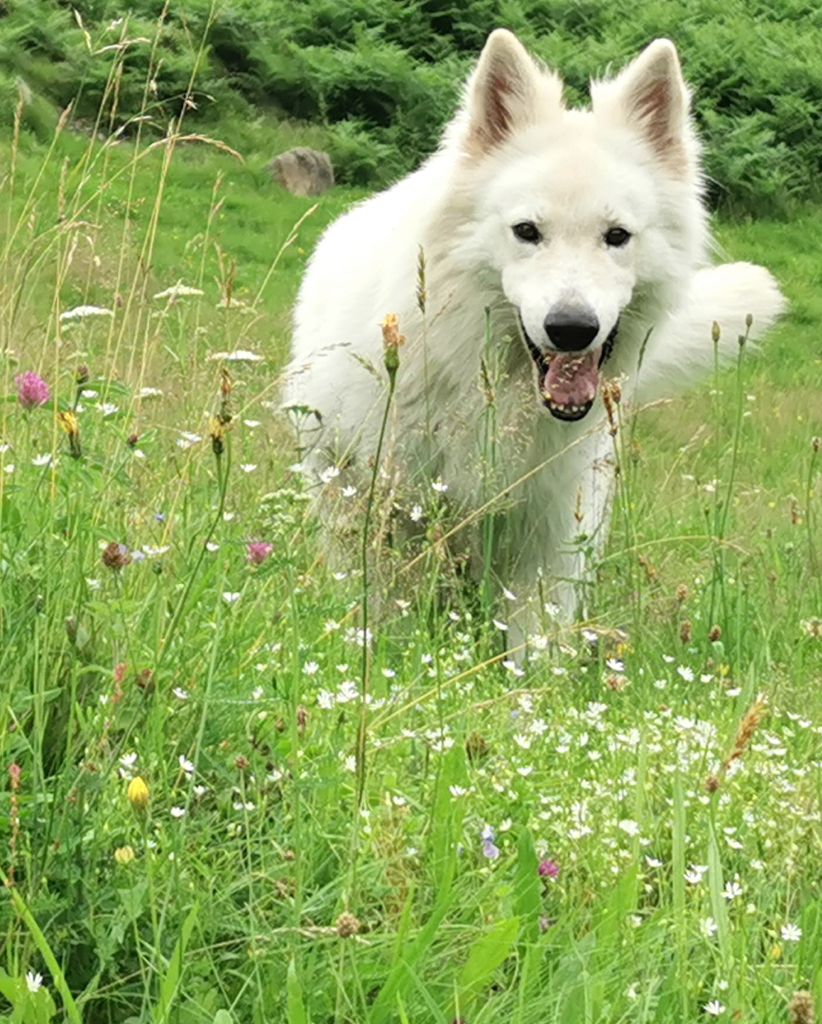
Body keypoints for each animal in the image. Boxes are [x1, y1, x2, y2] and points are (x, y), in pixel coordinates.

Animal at [286, 29, 786, 638]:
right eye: (527, 231)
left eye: (616, 236)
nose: (571, 329)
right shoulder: (383, 514)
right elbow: (391, 621)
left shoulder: (544, 545)